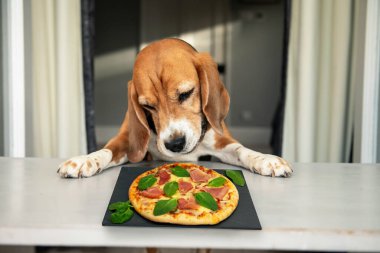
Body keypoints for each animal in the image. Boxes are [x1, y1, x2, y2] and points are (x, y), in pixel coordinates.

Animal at [58, 39, 292, 178]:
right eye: (147, 106)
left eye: (186, 94)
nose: (175, 144)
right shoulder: (129, 143)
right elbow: (107, 150)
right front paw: (85, 160)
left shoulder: (222, 142)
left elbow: (241, 150)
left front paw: (265, 159)